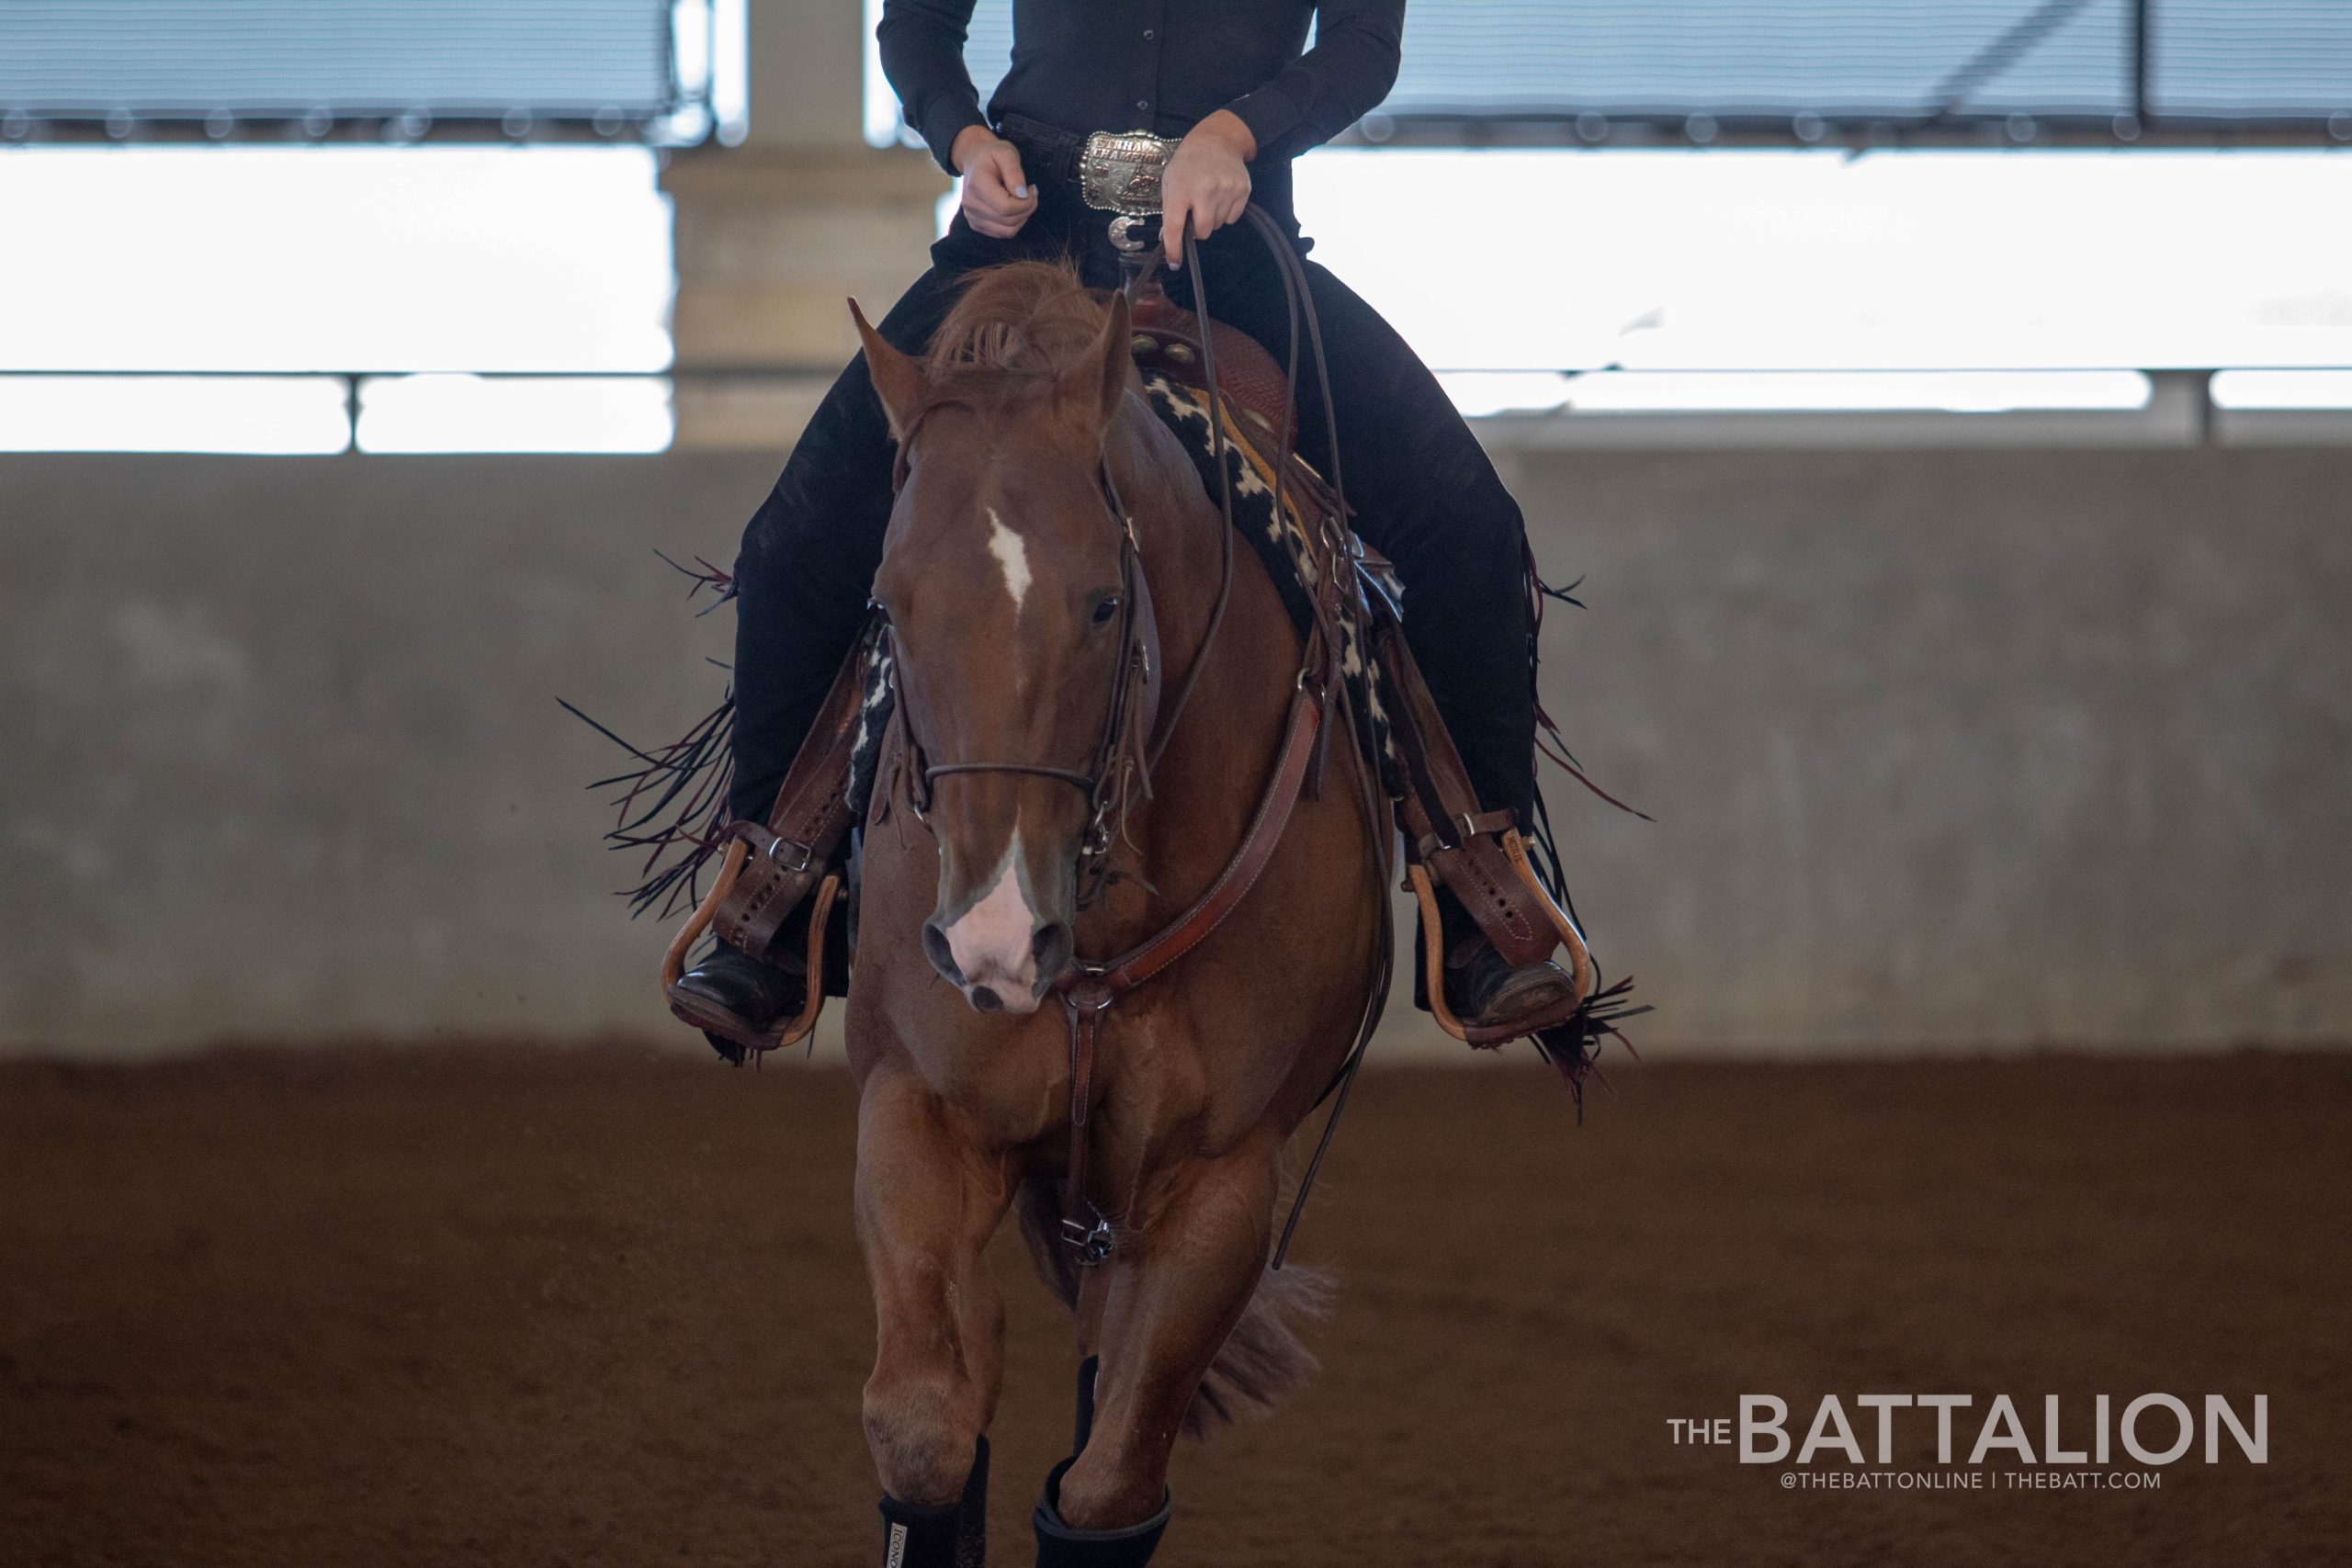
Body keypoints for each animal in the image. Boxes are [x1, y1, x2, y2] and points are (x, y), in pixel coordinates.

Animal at [846, 261, 1383, 1561]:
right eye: (888, 598)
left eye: (1101, 606)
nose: (989, 941)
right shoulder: (916, 1107)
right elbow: (926, 1430)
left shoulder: (1217, 1185)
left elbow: (1108, 1486)